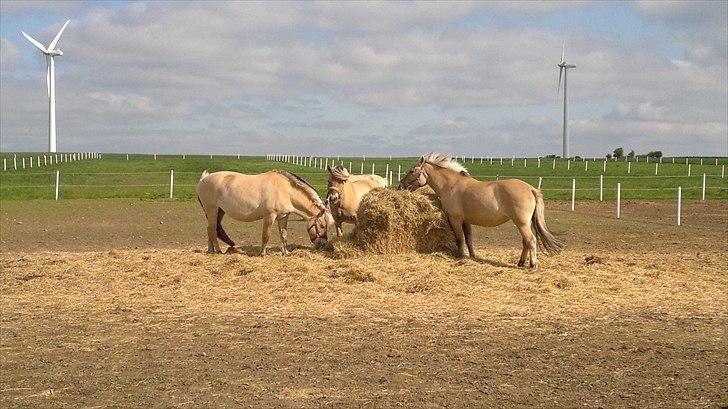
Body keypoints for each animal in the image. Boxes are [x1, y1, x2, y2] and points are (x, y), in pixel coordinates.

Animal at [196, 169, 332, 255]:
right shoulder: (269, 216)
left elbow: (284, 235)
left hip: (219, 211)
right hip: (212, 209)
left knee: (210, 228)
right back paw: (218, 251)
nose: (323, 244)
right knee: (212, 229)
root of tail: (203, 179)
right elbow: (266, 235)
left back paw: (210, 251)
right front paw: (262, 253)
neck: (284, 190)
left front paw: (286, 252)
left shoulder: (283, 217)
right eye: (322, 225)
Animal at [398, 151, 564, 270]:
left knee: (531, 240)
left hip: (522, 223)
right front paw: (472, 256)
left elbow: (460, 239)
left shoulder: (455, 219)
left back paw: (532, 265)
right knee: (525, 242)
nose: (400, 186)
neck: (451, 185)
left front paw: (461, 256)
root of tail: (530, 188)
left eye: (412, 171)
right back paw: (521, 262)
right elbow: (469, 239)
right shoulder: (466, 221)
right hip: (524, 223)